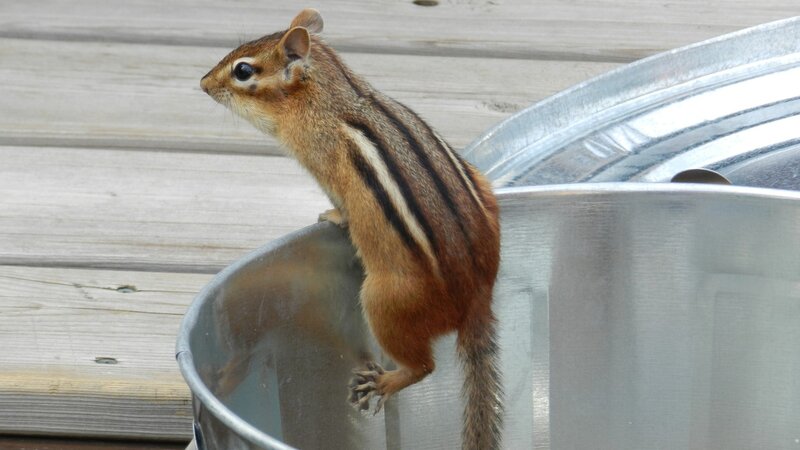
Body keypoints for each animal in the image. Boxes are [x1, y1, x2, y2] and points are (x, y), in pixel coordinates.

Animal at [201, 9, 502, 449]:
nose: (203, 83)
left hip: (384, 300)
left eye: (242, 71)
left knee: (423, 366)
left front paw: (332, 216)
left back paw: (388, 381)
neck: (329, 93)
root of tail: (477, 298)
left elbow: (341, 203)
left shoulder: (321, 163)